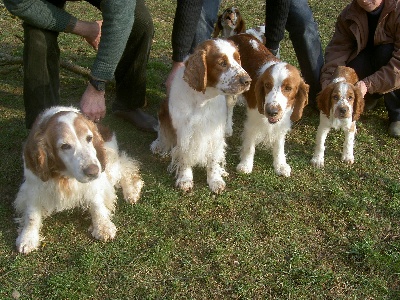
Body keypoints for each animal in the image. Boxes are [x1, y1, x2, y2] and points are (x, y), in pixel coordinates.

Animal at [15, 106, 144, 254]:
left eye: (89, 138)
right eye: (64, 146)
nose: (93, 171)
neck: (64, 175)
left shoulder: (94, 183)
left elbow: (97, 204)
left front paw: (103, 226)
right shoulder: (33, 186)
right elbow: (31, 215)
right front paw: (27, 237)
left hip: (109, 168)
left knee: (126, 168)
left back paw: (131, 192)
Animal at [150, 38, 250, 193]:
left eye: (238, 59)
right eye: (222, 63)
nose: (247, 81)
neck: (203, 101)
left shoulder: (214, 132)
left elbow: (213, 159)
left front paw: (215, 180)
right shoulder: (184, 132)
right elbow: (185, 157)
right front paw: (185, 179)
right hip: (162, 111)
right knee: (162, 132)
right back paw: (158, 145)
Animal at [228, 34, 310, 177]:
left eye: (288, 88)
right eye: (267, 85)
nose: (271, 111)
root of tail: (238, 35)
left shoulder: (282, 121)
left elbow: (279, 146)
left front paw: (280, 165)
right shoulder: (253, 122)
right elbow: (249, 146)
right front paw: (246, 164)